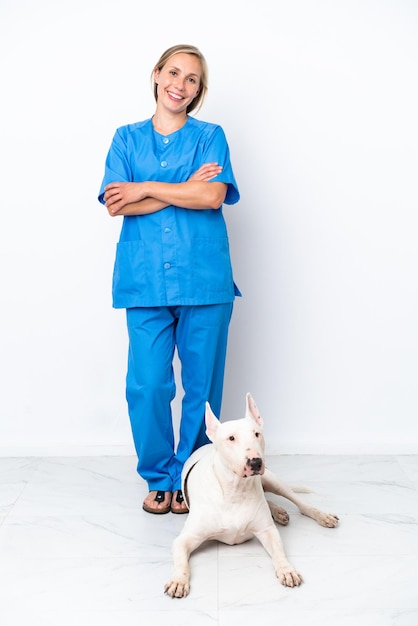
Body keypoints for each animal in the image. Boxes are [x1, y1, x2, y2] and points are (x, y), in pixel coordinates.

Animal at [164, 392, 340, 596]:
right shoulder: (185, 539)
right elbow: (181, 561)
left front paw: (287, 570)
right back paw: (278, 511)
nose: (255, 462)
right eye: (231, 438)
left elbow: (279, 552)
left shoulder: (267, 531)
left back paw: (320, 516)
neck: (235, 490)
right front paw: (178, 580)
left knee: (301, 504)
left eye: (257, 434)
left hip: (273, 480)